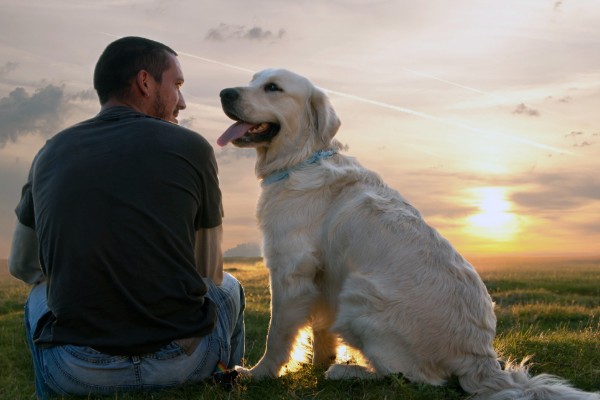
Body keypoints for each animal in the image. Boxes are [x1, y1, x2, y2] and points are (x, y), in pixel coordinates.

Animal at [218, 69, 596, 400]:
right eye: (253, 79)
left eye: (273, 87)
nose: (224, 92)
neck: (302, 160)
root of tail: (480, 358)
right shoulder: (322, 277)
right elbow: (321, 331)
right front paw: (316, 363)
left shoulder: (289, 271)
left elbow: (278, 334)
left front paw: (258, 373)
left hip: (359, 294)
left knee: (414, 378)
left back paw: (348, 371)